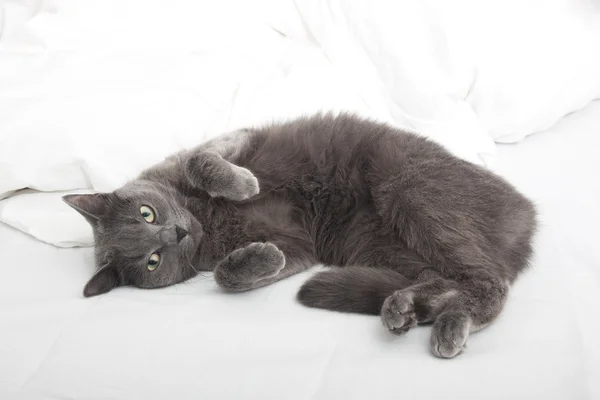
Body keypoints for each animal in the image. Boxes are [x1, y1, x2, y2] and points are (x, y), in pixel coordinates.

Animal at [63, 114, 536, 358]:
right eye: (152, 261)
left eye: (147, 213)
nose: (176, 233)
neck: (203, 218)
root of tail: (526, 218)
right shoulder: (298, 245)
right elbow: (228, 276)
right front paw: (260, 260)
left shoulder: (225, 140)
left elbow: (201, 160)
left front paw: (243, 185)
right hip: (379, 243)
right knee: (453, 278)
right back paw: (405, 308)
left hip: (411, 192)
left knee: (487, 279)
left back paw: (448, 323)